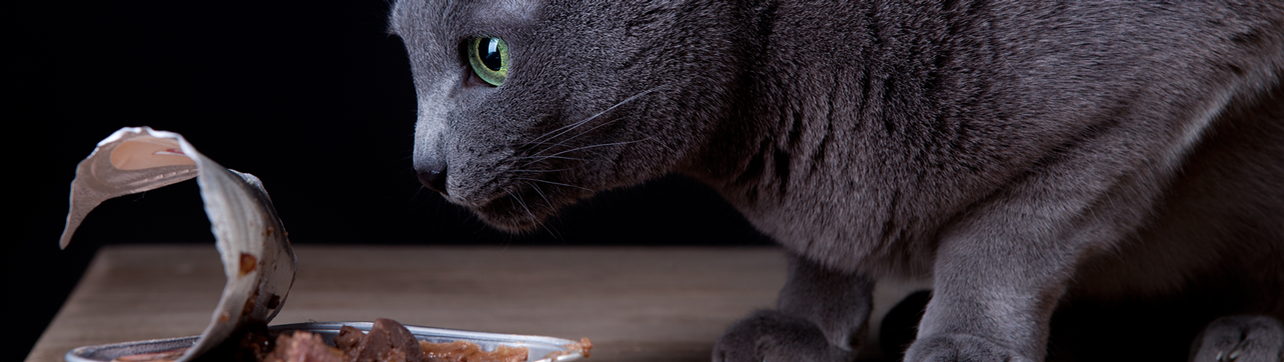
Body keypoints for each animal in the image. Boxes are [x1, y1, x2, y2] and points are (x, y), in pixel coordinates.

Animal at [387, 0, 1284, 359]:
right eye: (404, 49)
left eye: (489, 58)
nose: (425, 171)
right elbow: (824, 238)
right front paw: (802, 325)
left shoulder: (1147, 103)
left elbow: (1005, 239)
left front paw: (965, 340)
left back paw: (1248, 334)